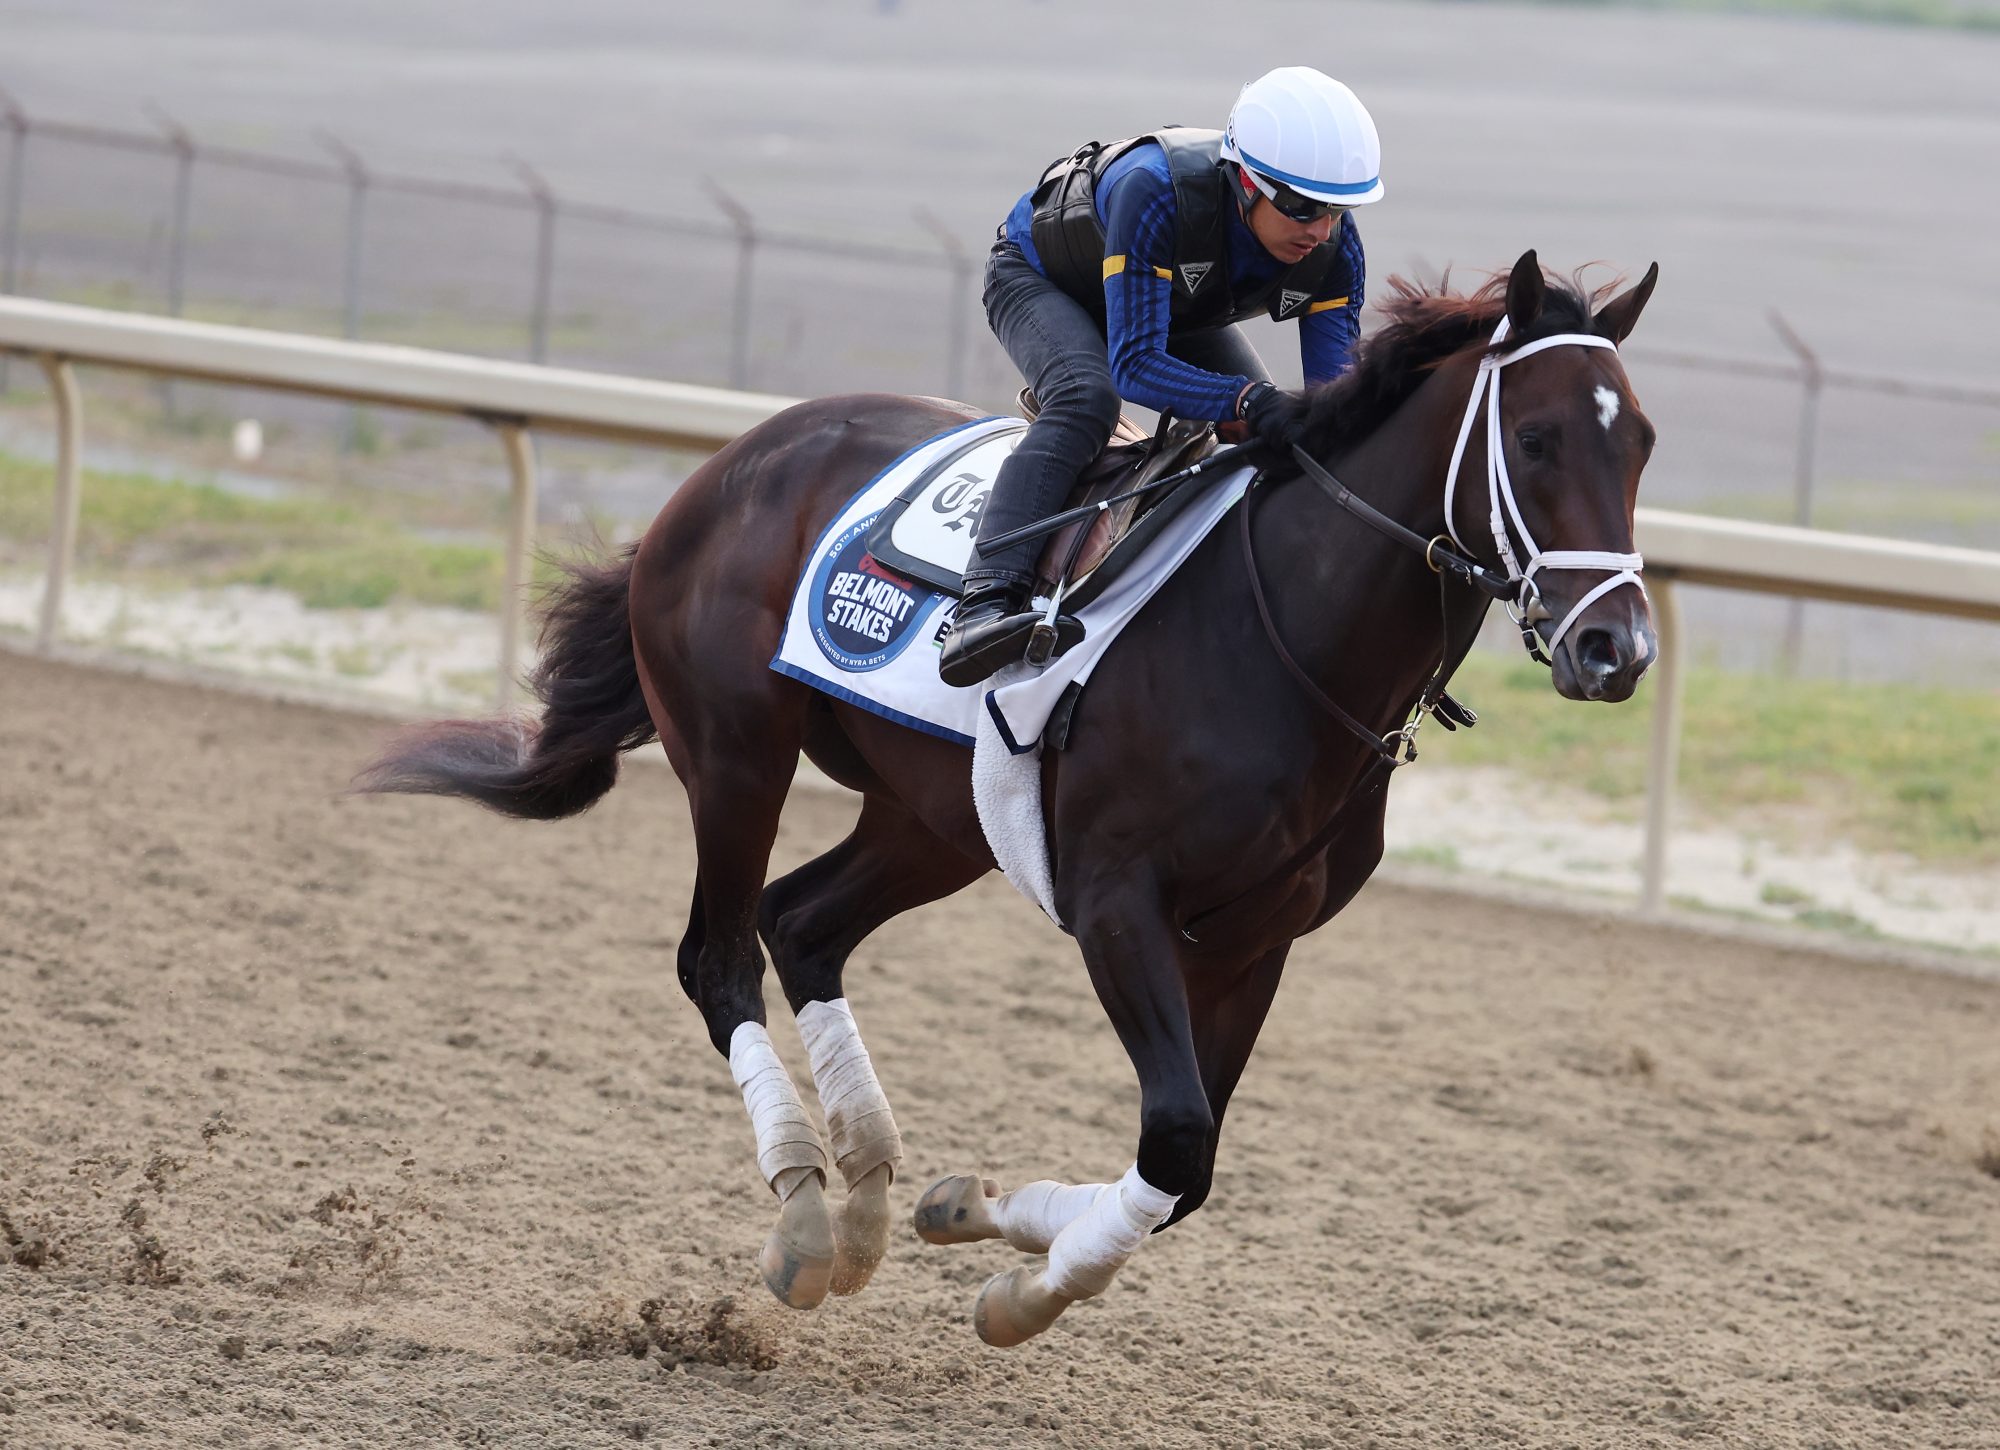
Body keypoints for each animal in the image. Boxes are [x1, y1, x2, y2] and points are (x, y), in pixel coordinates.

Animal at [356, 252, 1656, 1344]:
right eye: (1535, 438)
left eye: (1638, 441)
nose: (1616, 648)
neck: (1283, 629)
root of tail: (729, 462)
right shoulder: (1116, 902)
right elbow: (1176, 1138)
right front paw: (1019, 1294)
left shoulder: (1254, 939)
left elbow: (1188, 1166)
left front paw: (974, 1214)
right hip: (735, 758)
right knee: (716, 954)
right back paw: (805, 1217)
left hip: (938, 818)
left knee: (802, 921)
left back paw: (869, 1198)